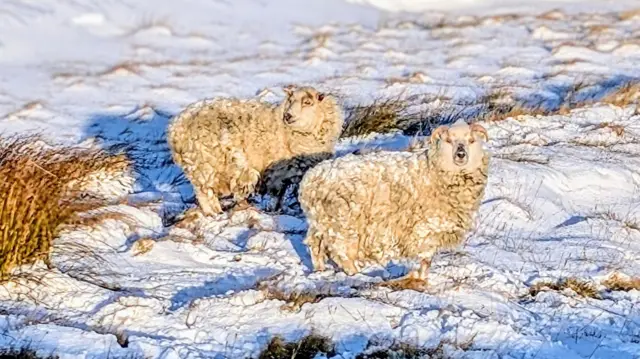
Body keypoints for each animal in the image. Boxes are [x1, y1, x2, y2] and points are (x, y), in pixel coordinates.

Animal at [168, 86, 342, 217]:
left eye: (307, 102)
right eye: (290, 101)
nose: (288, 115)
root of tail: (175, 129)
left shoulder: (287, 171)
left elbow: (281, 194)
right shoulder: (276, 171)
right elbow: (276, 193)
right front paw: (273, 210)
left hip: (200, 167)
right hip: (206, 164)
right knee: (205, 193)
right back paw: (215, 213)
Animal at [300, 119, 490, 292]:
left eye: (471, 140)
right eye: (449, 140)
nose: (461, 154)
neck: (433, 170)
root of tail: (311, 179)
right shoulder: (425, 228)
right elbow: (425, 258)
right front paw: (420, 280)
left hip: (322, 221)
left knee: (315, 245)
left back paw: (320, 270)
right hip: (343, 221)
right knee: (341, 251)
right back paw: (357, 274)